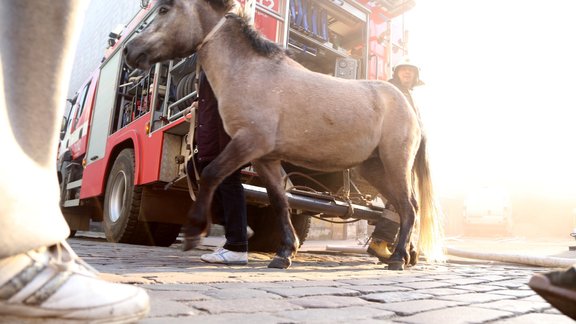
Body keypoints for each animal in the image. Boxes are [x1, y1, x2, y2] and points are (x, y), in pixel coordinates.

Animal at [124, 0, 444, 270]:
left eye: (164, 9)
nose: (129, 51)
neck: (251, 72)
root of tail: (408, 105)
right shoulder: (265, 157)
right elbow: (279, 200)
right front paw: (284, 252)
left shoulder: (248, 142)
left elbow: (212, 173)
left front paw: (193, 233)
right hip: (374, 168)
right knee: (408, 207)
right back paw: (407, 255)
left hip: (395, 162)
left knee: (408, 207)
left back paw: (398, 258)